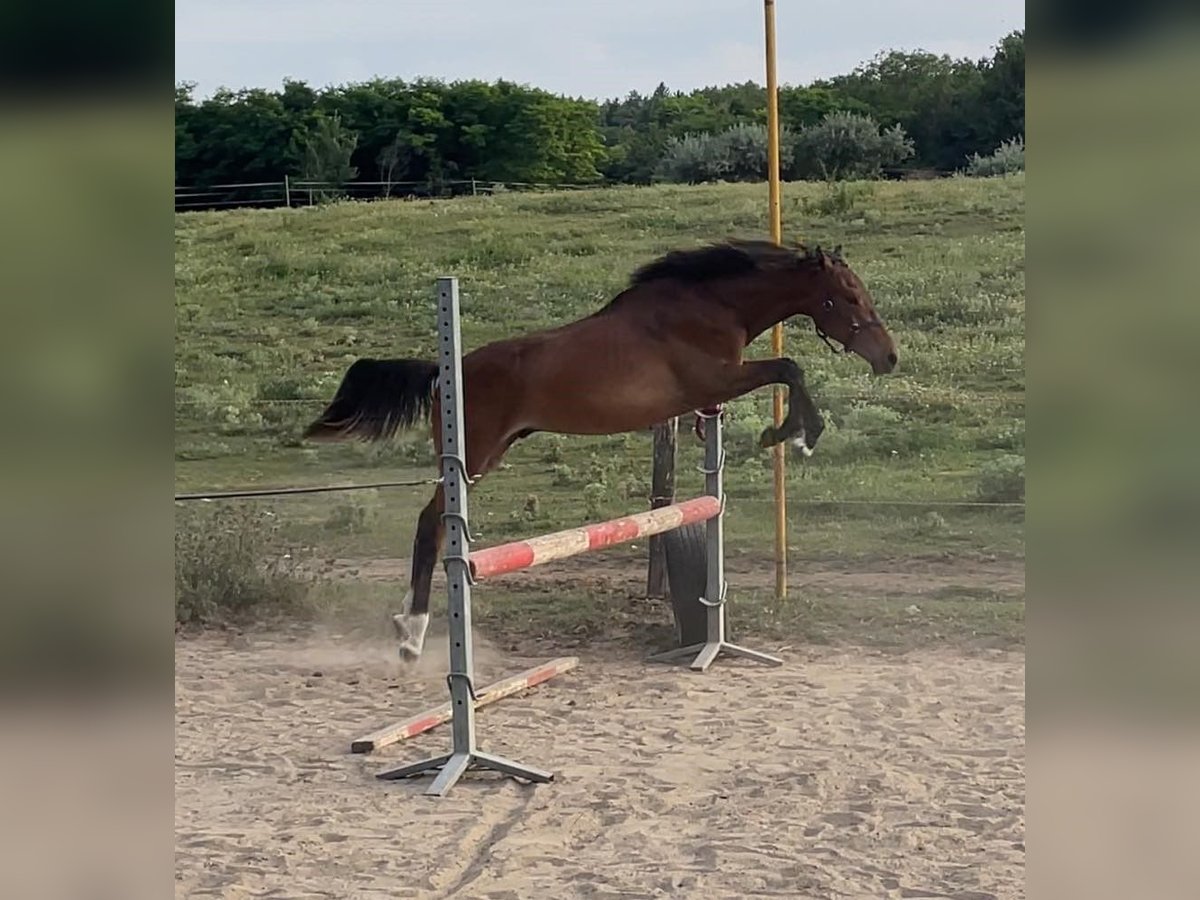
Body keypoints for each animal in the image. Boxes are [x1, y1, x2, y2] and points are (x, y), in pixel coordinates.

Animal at [304, 240, 897, 662]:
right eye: (848, 297)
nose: (888, 357)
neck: (710, 306)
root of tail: (442, 373)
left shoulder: (712, 394)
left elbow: (781, 375)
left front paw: (785, 433)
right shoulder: (713, 380)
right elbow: (789, 368)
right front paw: (797, 435)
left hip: (489, 456)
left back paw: (410, 625)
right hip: (471, 458)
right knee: (430, 523)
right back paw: (412, 634)